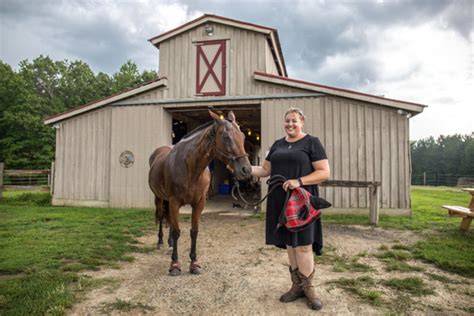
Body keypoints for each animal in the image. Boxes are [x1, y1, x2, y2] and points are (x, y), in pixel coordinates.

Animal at [148, 110, 252, 276]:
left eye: (242, 136)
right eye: (226, 137)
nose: (246, 170)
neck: (190, 168)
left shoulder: (199, 203)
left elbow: (194, 231)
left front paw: (194, 263)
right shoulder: (174, 202)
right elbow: (177, 231)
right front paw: (175, 265)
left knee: (169, 219)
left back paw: (170, 243)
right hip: (159, 198)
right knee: (160, 215)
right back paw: (161, 242)